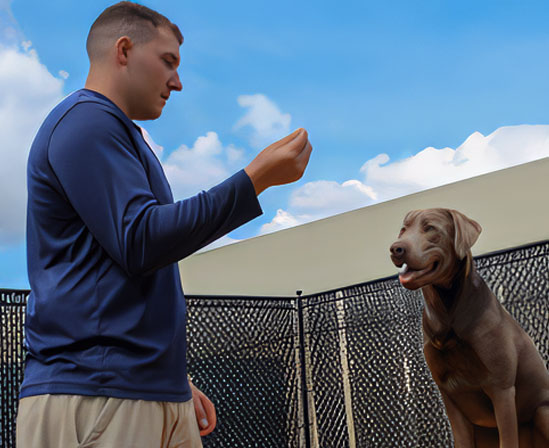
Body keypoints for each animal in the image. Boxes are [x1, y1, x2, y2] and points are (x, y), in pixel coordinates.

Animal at [388, 210, 548, 448]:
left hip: (541, 412)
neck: (447, 314)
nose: (395, 248)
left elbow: (508, 437)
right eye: (403, 230)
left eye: (430, 228)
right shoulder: (451, 396)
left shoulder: (501, 389)